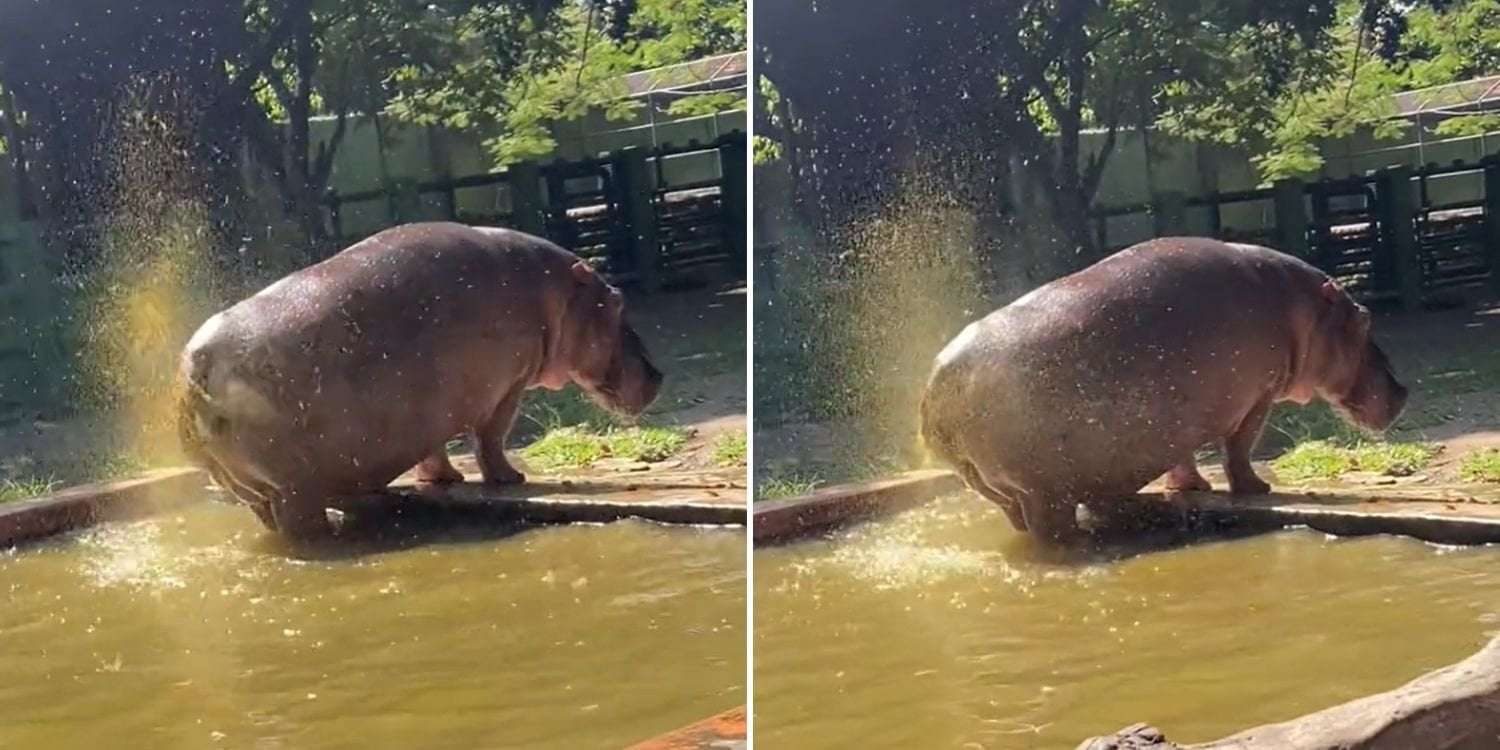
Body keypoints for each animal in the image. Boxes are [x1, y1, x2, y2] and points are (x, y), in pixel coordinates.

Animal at [175, 222, 662, 539]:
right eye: (617, 299)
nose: (658, 374)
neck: (554, 290)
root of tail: (194, 371)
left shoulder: (428, 407)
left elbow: (434, 447)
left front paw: (444, 479)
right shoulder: (508, 387)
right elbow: (491, 438)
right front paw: (512, 479)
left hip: (254, 493)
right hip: (293, 491)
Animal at [919, 236, 1408, 544]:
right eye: (1365, 319)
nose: (1403, 391)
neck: (1300, 307)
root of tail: (936, 397)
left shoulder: (1176, 413)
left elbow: (1182, 454)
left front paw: (1192, 487)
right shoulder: (1257, 397)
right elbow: (1239, 449)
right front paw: (1259, 489)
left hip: (1001, 491)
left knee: (1016, 519)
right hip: (1042, 493)